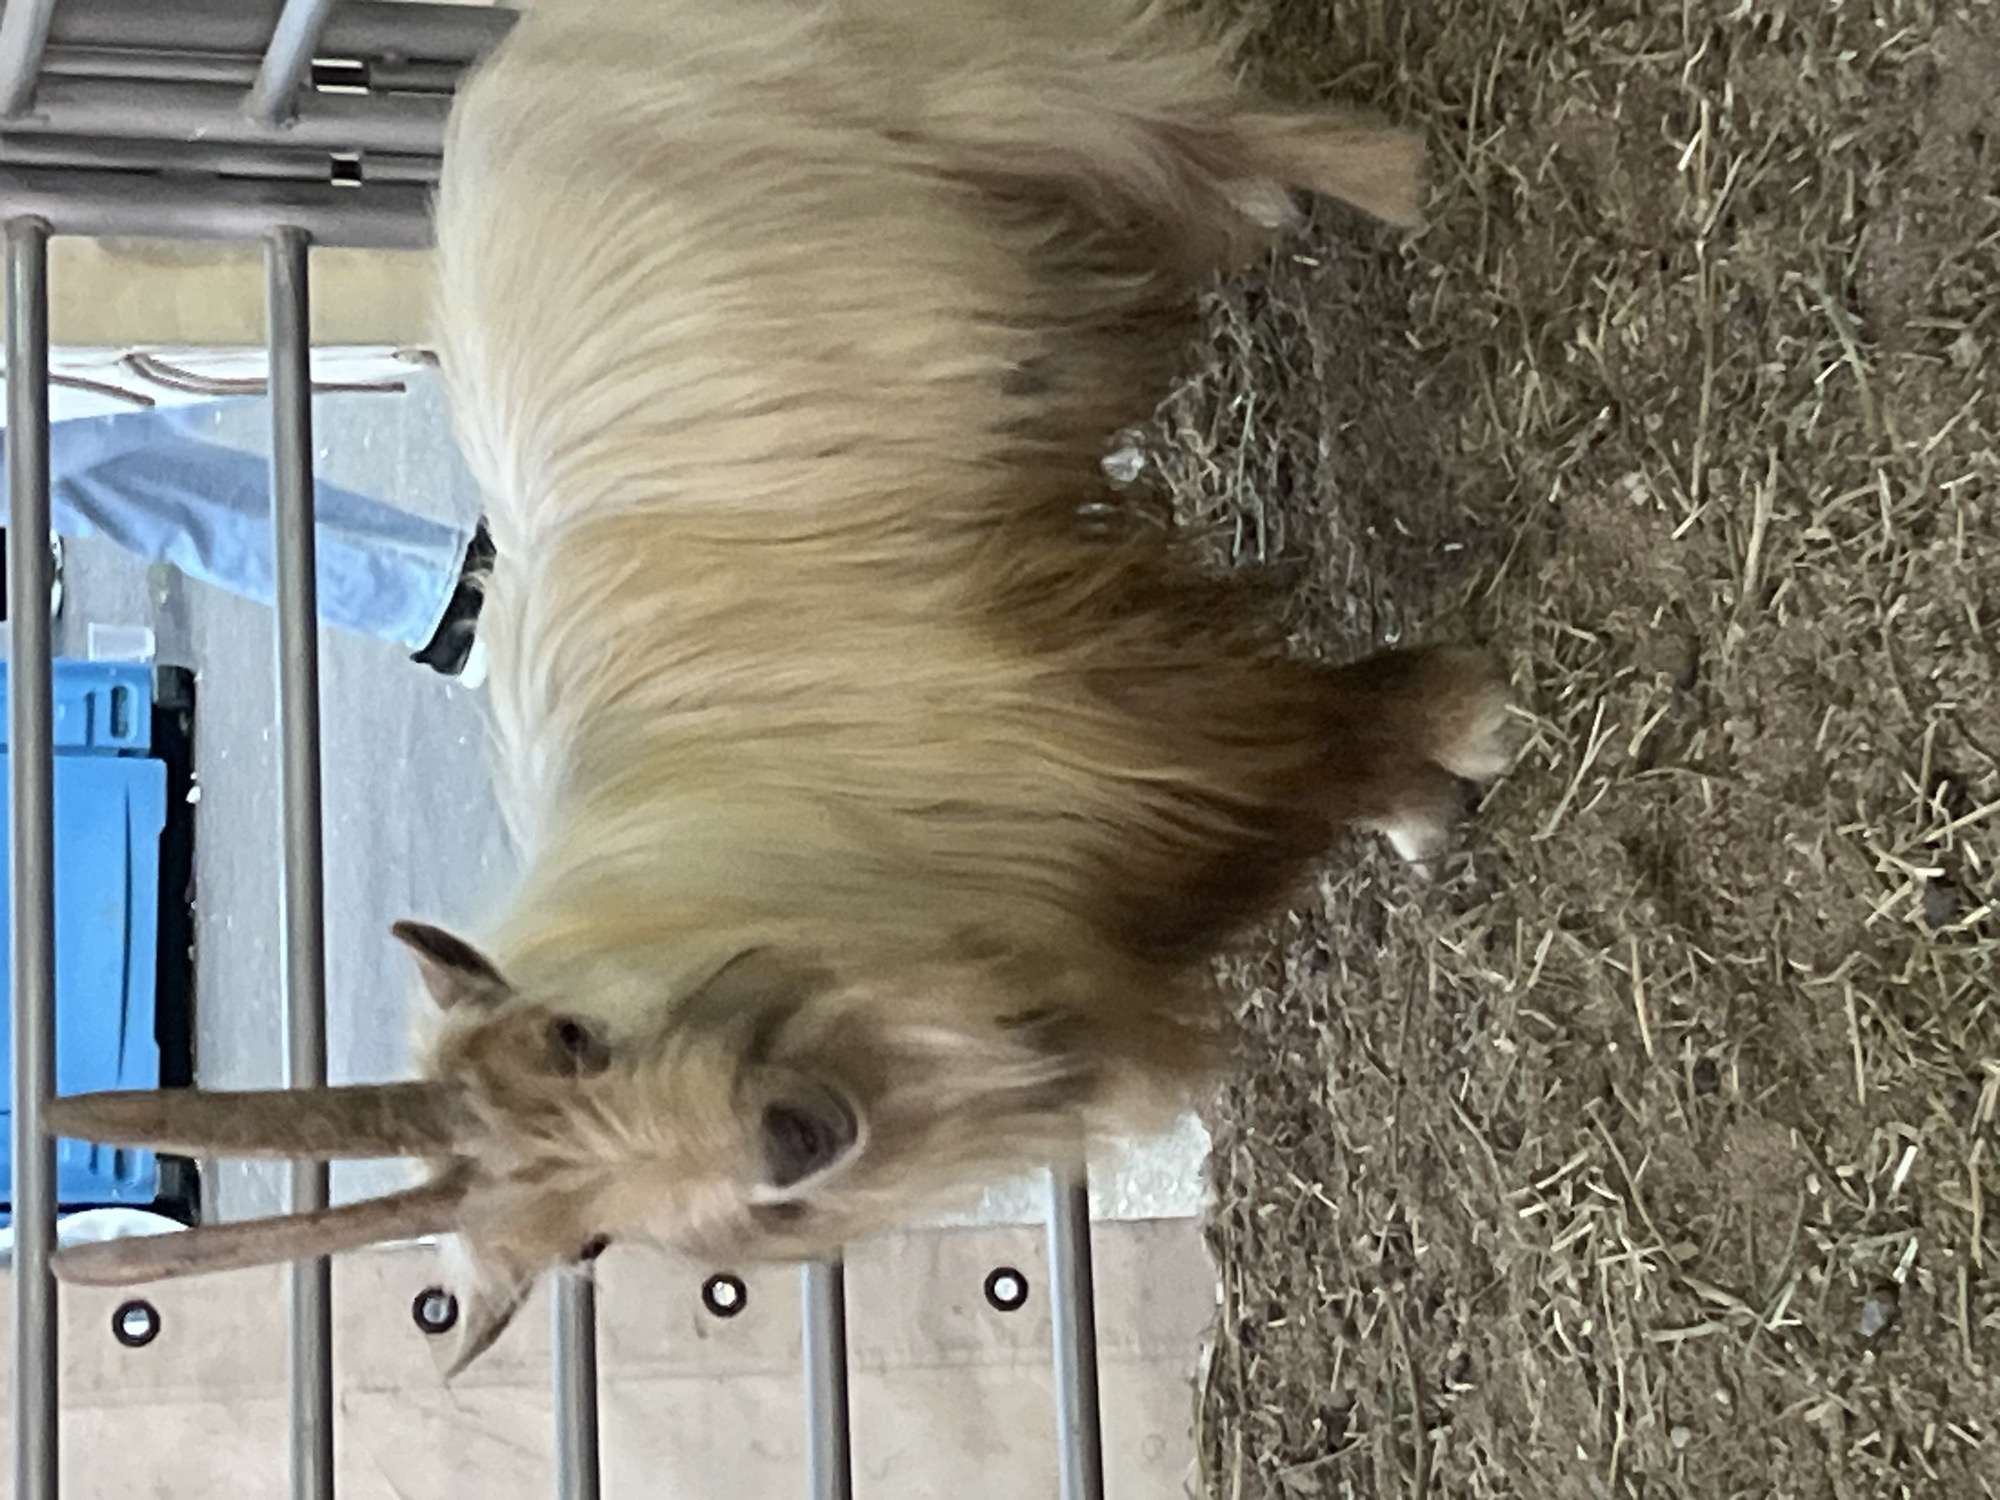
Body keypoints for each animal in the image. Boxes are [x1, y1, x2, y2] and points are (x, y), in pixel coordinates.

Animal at [48, 0, 1510, 1374]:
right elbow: (1338, 767)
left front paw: (1463, 726)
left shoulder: (1136, 706)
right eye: (585, 1247)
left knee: (1215, 117)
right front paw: (1430, 798)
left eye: (571, 1038)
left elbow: (1336, 729)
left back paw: (1403, 183)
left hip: (1010, 96)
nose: (790, 1141)